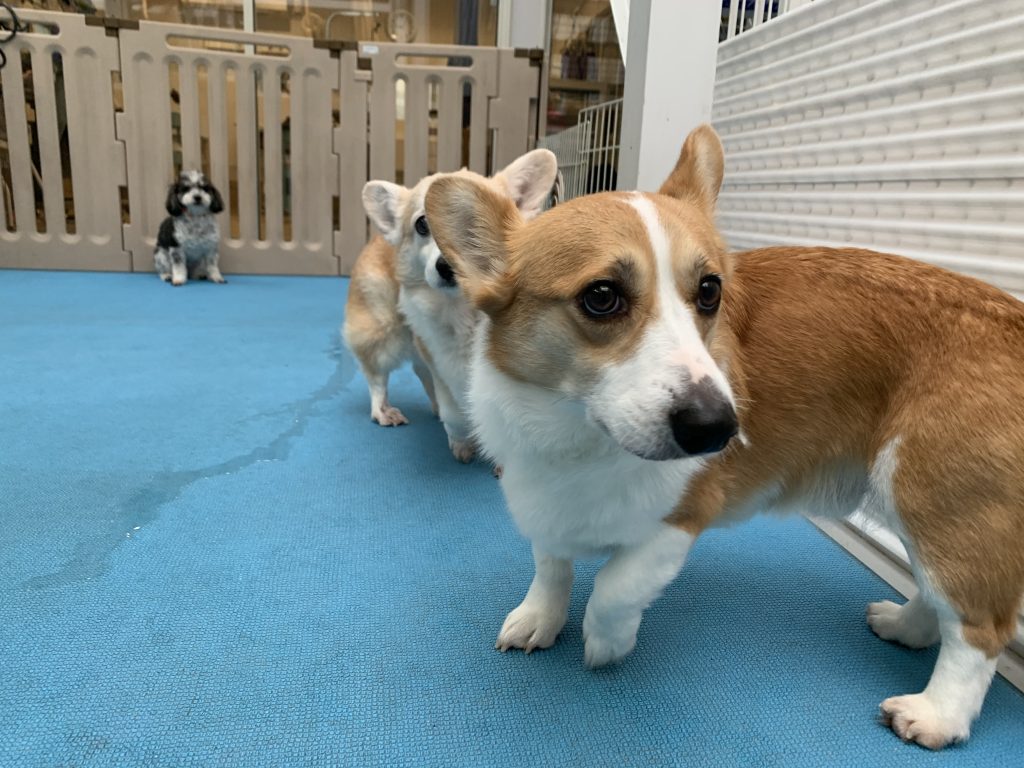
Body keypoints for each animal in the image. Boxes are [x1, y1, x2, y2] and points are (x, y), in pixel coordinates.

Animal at [344, 151, 557, 462]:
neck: (464, 314)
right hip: (383, 332)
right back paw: (383, 410)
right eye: (422, 224)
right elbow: (455, 410)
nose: (447, 266)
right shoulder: (442, 362)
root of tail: (378, 239)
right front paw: (463, 442)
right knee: (376, 377)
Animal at [423, 123, 1024, 749]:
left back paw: (937, 714)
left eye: (710, 290)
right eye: (602, 296)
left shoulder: (680, 520)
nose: (718, 427)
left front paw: (607, 645)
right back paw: (906, 625)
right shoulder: (544, 503)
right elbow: (551, 567)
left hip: (936, 500)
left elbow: (615, 587)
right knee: (941, 598)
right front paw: (540, 617)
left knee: (980, 627)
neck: (582, 433)